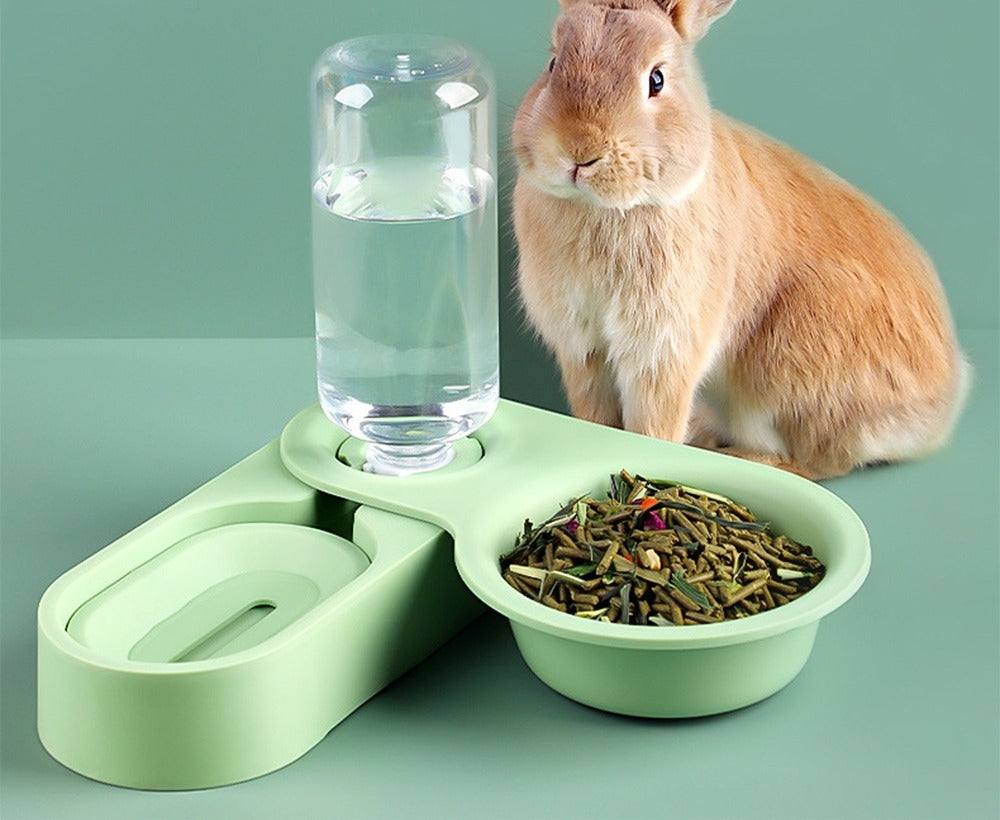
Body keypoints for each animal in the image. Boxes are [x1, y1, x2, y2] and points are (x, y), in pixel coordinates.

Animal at [512, 0, 970, 480]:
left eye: (656, 79)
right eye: (553, 63)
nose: (579, 149)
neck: (607, 207)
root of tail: (942, 406)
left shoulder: (664, 349)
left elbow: (653, 422)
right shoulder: (582, 347)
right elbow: (595, 415)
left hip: (792, 363)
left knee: (814, 461)